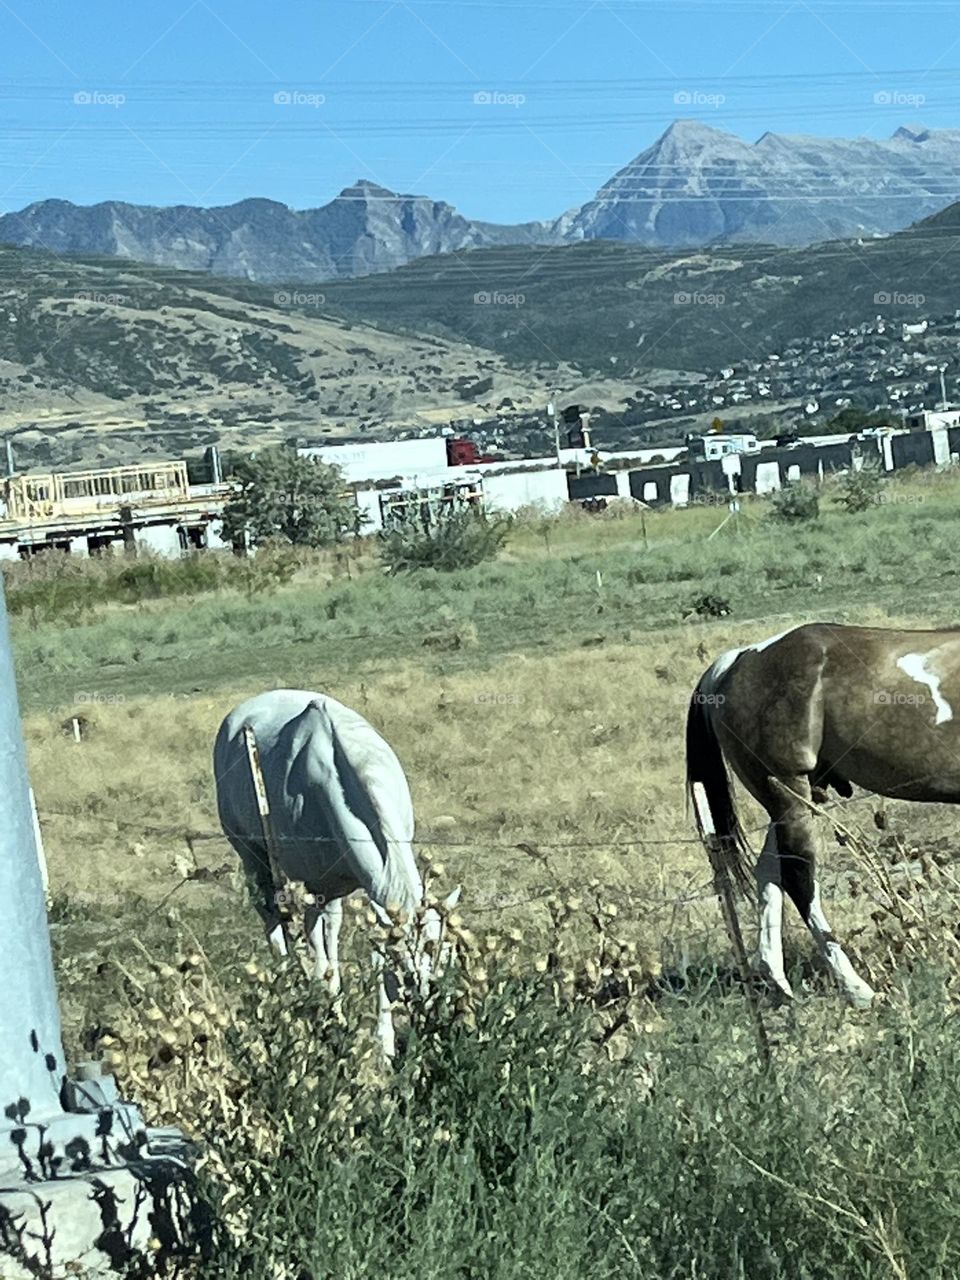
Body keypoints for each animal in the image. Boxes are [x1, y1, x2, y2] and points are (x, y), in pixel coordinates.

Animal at [214, 689, 459, 1055]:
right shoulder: (316, 884)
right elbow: (319, 946)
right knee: (272, 916)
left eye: (442, 949)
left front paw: (384, 1043)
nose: (428, 999)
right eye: (403, 962)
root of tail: (236, 716)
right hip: (252, 856)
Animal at [686, 622, 960, 1007]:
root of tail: (736, 661)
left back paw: (778, 981)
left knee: (768, 871)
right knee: (799, 879)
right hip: (790, 795)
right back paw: (857, 989)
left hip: (789, 802)